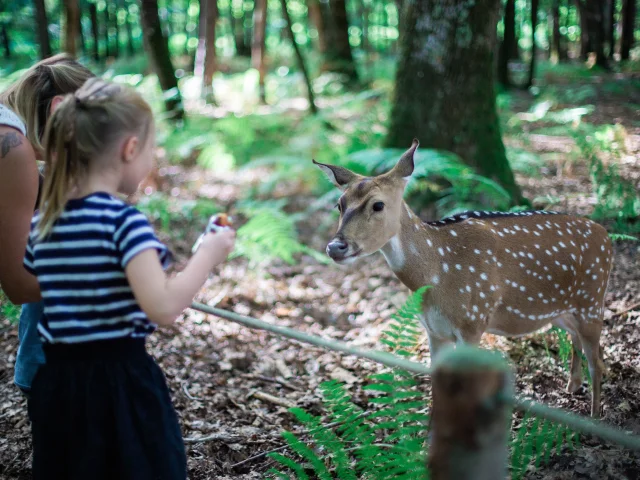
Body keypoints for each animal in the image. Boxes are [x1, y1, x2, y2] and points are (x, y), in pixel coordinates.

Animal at [316, 138, 616, 416]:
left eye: (378, 205)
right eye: (339, 204)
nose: (335, 247)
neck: (437, 275)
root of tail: (607, 237)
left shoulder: (473, 322)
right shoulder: (434, 330)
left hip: (592, 300)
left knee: (598, 362)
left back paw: (594, 418)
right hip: (565, 311)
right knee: (579, 341)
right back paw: (572, 387)